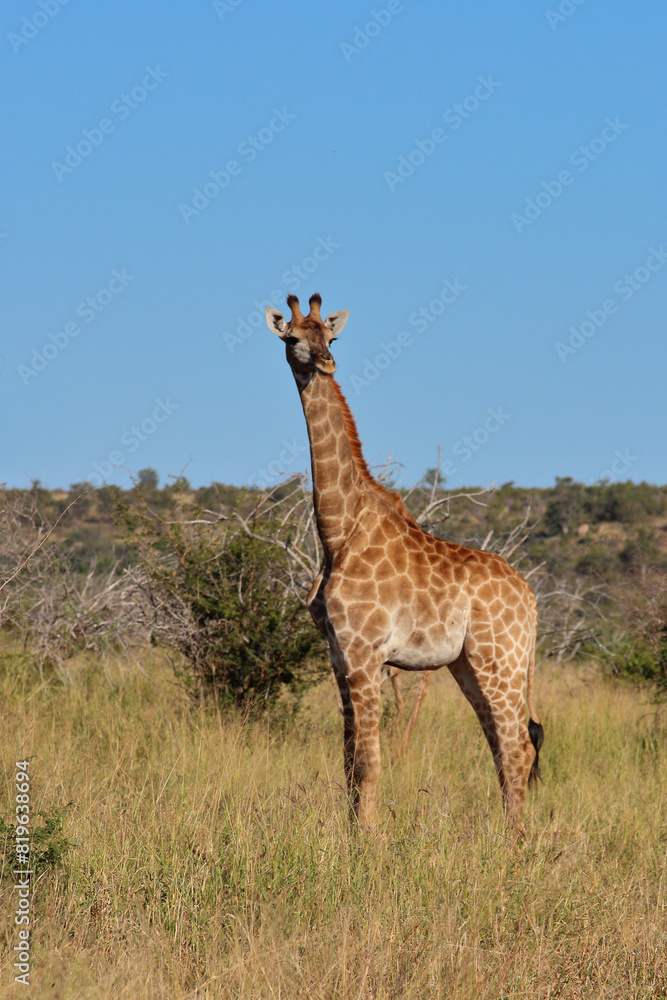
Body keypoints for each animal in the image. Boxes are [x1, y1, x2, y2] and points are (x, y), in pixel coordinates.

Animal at [266, 292, 543, 831]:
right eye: (292, 339)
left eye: (331, 339)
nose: (326, 363)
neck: (338, 530)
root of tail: (532, 599)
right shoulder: (338, 654)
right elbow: (348, 760)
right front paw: (353, 836)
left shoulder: (365, 652)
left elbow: (368, 761)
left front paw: (368, 843)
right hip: (468, 664)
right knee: (503, 747)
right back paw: (507, 837)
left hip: (500, 658)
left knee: (519, 746)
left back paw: (517, 843)